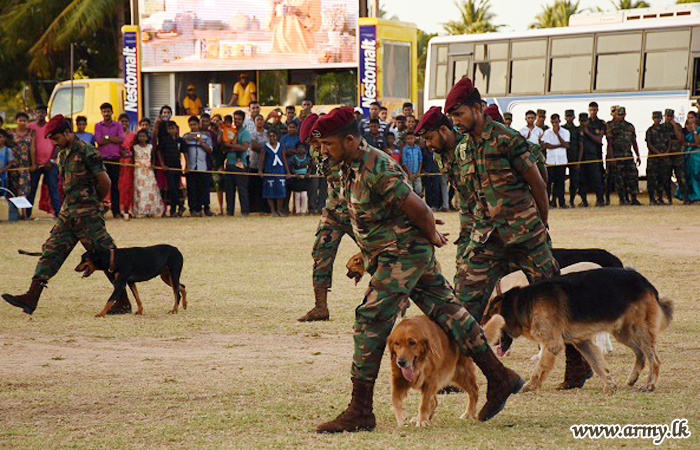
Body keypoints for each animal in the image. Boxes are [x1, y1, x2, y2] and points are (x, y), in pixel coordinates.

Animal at [482, 268, 672, 394]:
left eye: (489, 321)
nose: (483, 336)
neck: (524, 303)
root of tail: (645, 282)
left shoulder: (552, 345)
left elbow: (539, 369)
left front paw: (529, 386)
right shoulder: (583, 342)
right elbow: (598, 365)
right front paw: (610, 385)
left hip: (638, 331)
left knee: (654, 359)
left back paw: (649, 385)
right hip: (623, 333)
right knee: (640, 354)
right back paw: (633, 378)